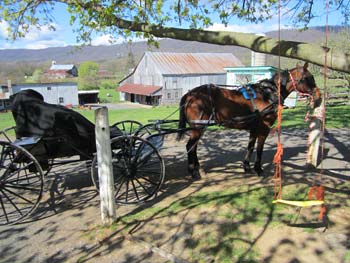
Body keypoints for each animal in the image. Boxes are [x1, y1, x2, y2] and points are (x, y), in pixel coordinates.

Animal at [178, 63, 322, 180]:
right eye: (308, 78)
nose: (319, 97)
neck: (267, 94)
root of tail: (190, 95)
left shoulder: (254, 129)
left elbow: (250, 147)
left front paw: (246, 166)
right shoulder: (264, 128)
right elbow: (259, 149)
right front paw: (258, 169)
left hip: (200, 127)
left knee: (193, 147)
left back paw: (198, 168)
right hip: (197, 127)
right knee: (190, 146)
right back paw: (193, 172)